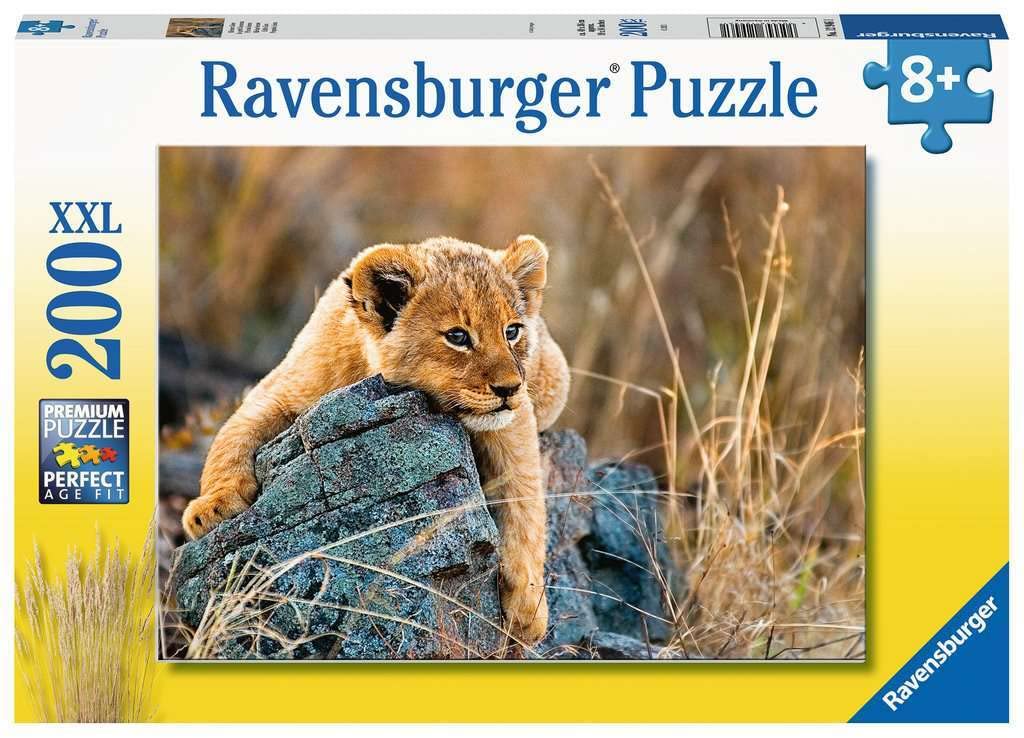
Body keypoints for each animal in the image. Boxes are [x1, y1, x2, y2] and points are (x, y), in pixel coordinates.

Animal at [182, 235, 570, 645]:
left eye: (512, 331)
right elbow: (231, 436)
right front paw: (211, 509)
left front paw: (528, 609)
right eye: (458, 337)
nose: (510, 388)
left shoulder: (514, 423)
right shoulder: (280, 389)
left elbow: (525, 502)